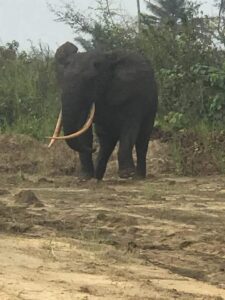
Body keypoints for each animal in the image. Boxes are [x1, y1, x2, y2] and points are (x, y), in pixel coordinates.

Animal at [48, 42, 158, 180]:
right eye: (62, 79)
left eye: (92, 80)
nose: (93, 148)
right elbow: (82, 128)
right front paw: (84, 177)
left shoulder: (133, 96)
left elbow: (130, 128)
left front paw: (127, 174)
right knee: (106, 140)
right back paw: (97, 176)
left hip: (152, 106)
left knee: (142, 138)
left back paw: (138, 177)